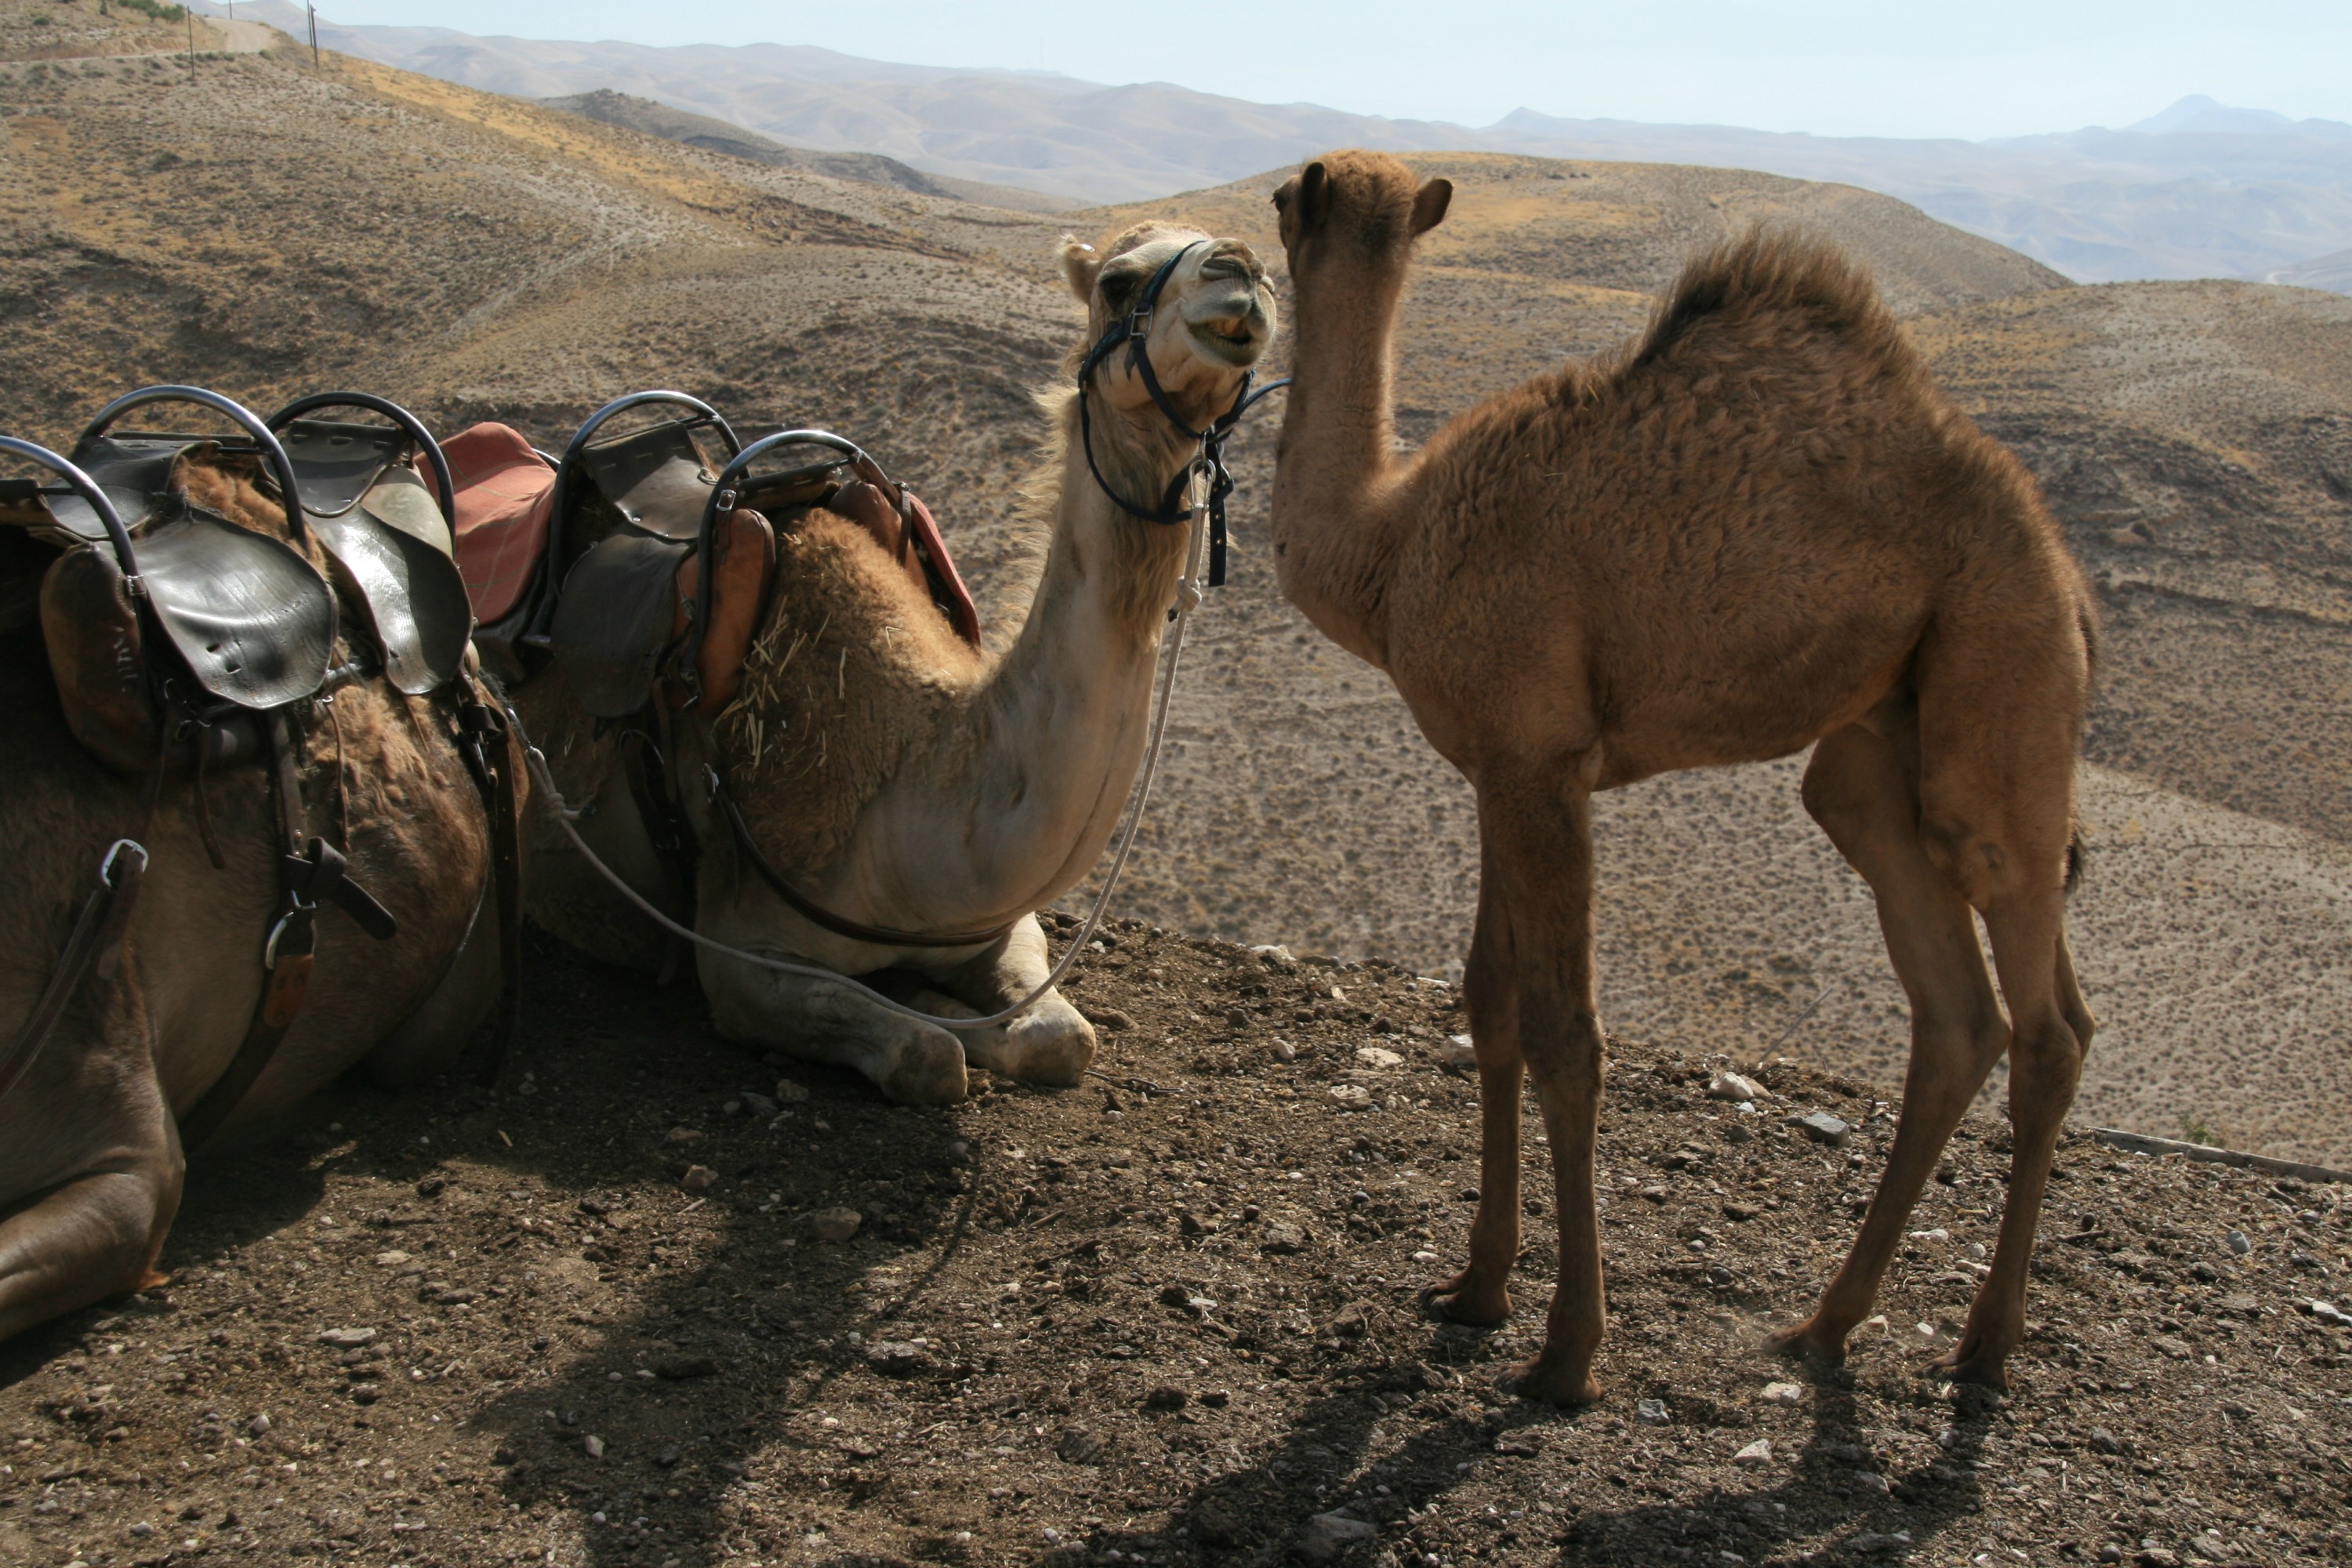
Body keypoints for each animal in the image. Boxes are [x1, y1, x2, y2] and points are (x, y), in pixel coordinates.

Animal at [518, 224, 1276, 1105]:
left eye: (1266, 269)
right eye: (1117, 283)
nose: (1239, 268)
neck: (908, 777)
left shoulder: (994, 922)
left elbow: (1062, 1038)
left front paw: (944, 1000)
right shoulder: (739, 954)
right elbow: (926, 1056)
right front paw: (927, 1012)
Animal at [1267, 151, 2098, 1402]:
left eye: (1281, 200)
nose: (1253, 229)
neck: (1390, 547)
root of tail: (2071, 579)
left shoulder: (1538, 761)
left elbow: (1568, 1036)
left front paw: (1566, 1353)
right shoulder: (1499, 766)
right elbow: (1491, 1001)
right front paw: (1474, 1287)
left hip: (2002, 668)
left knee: (2043, 1014)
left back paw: (1985, 1347)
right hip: (1879, 741)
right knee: (1960, 1014)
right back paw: (1826, 1325)